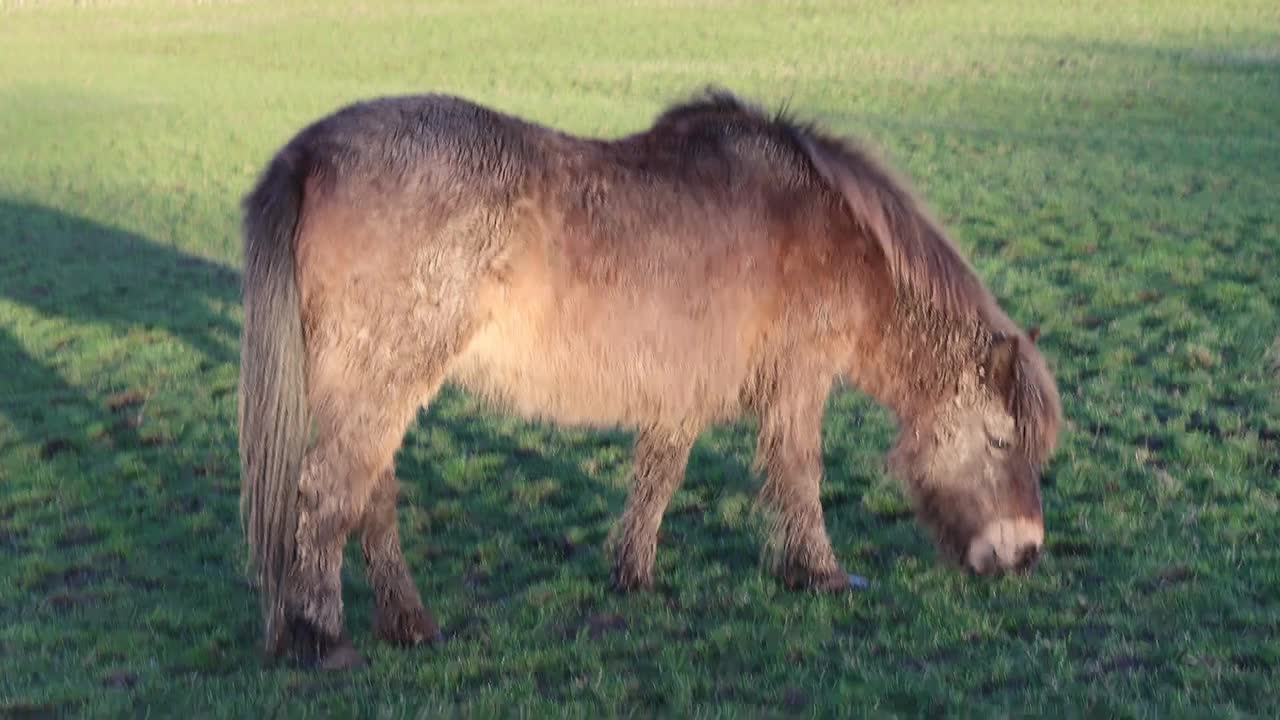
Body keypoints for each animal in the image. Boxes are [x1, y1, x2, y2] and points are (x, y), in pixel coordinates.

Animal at [238, 88, 1059, 666]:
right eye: (999, 441)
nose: (1025, 553)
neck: (832, 231)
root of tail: (310, 152)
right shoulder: (800, 381)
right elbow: (799, 473)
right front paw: (821, 574)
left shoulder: (682, 389)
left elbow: (660, 475)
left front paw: (632, 573)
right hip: (384, 381)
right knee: (331, 493)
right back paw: (325, 638)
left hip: (376, 389)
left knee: (368, 496)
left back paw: (408, 624)